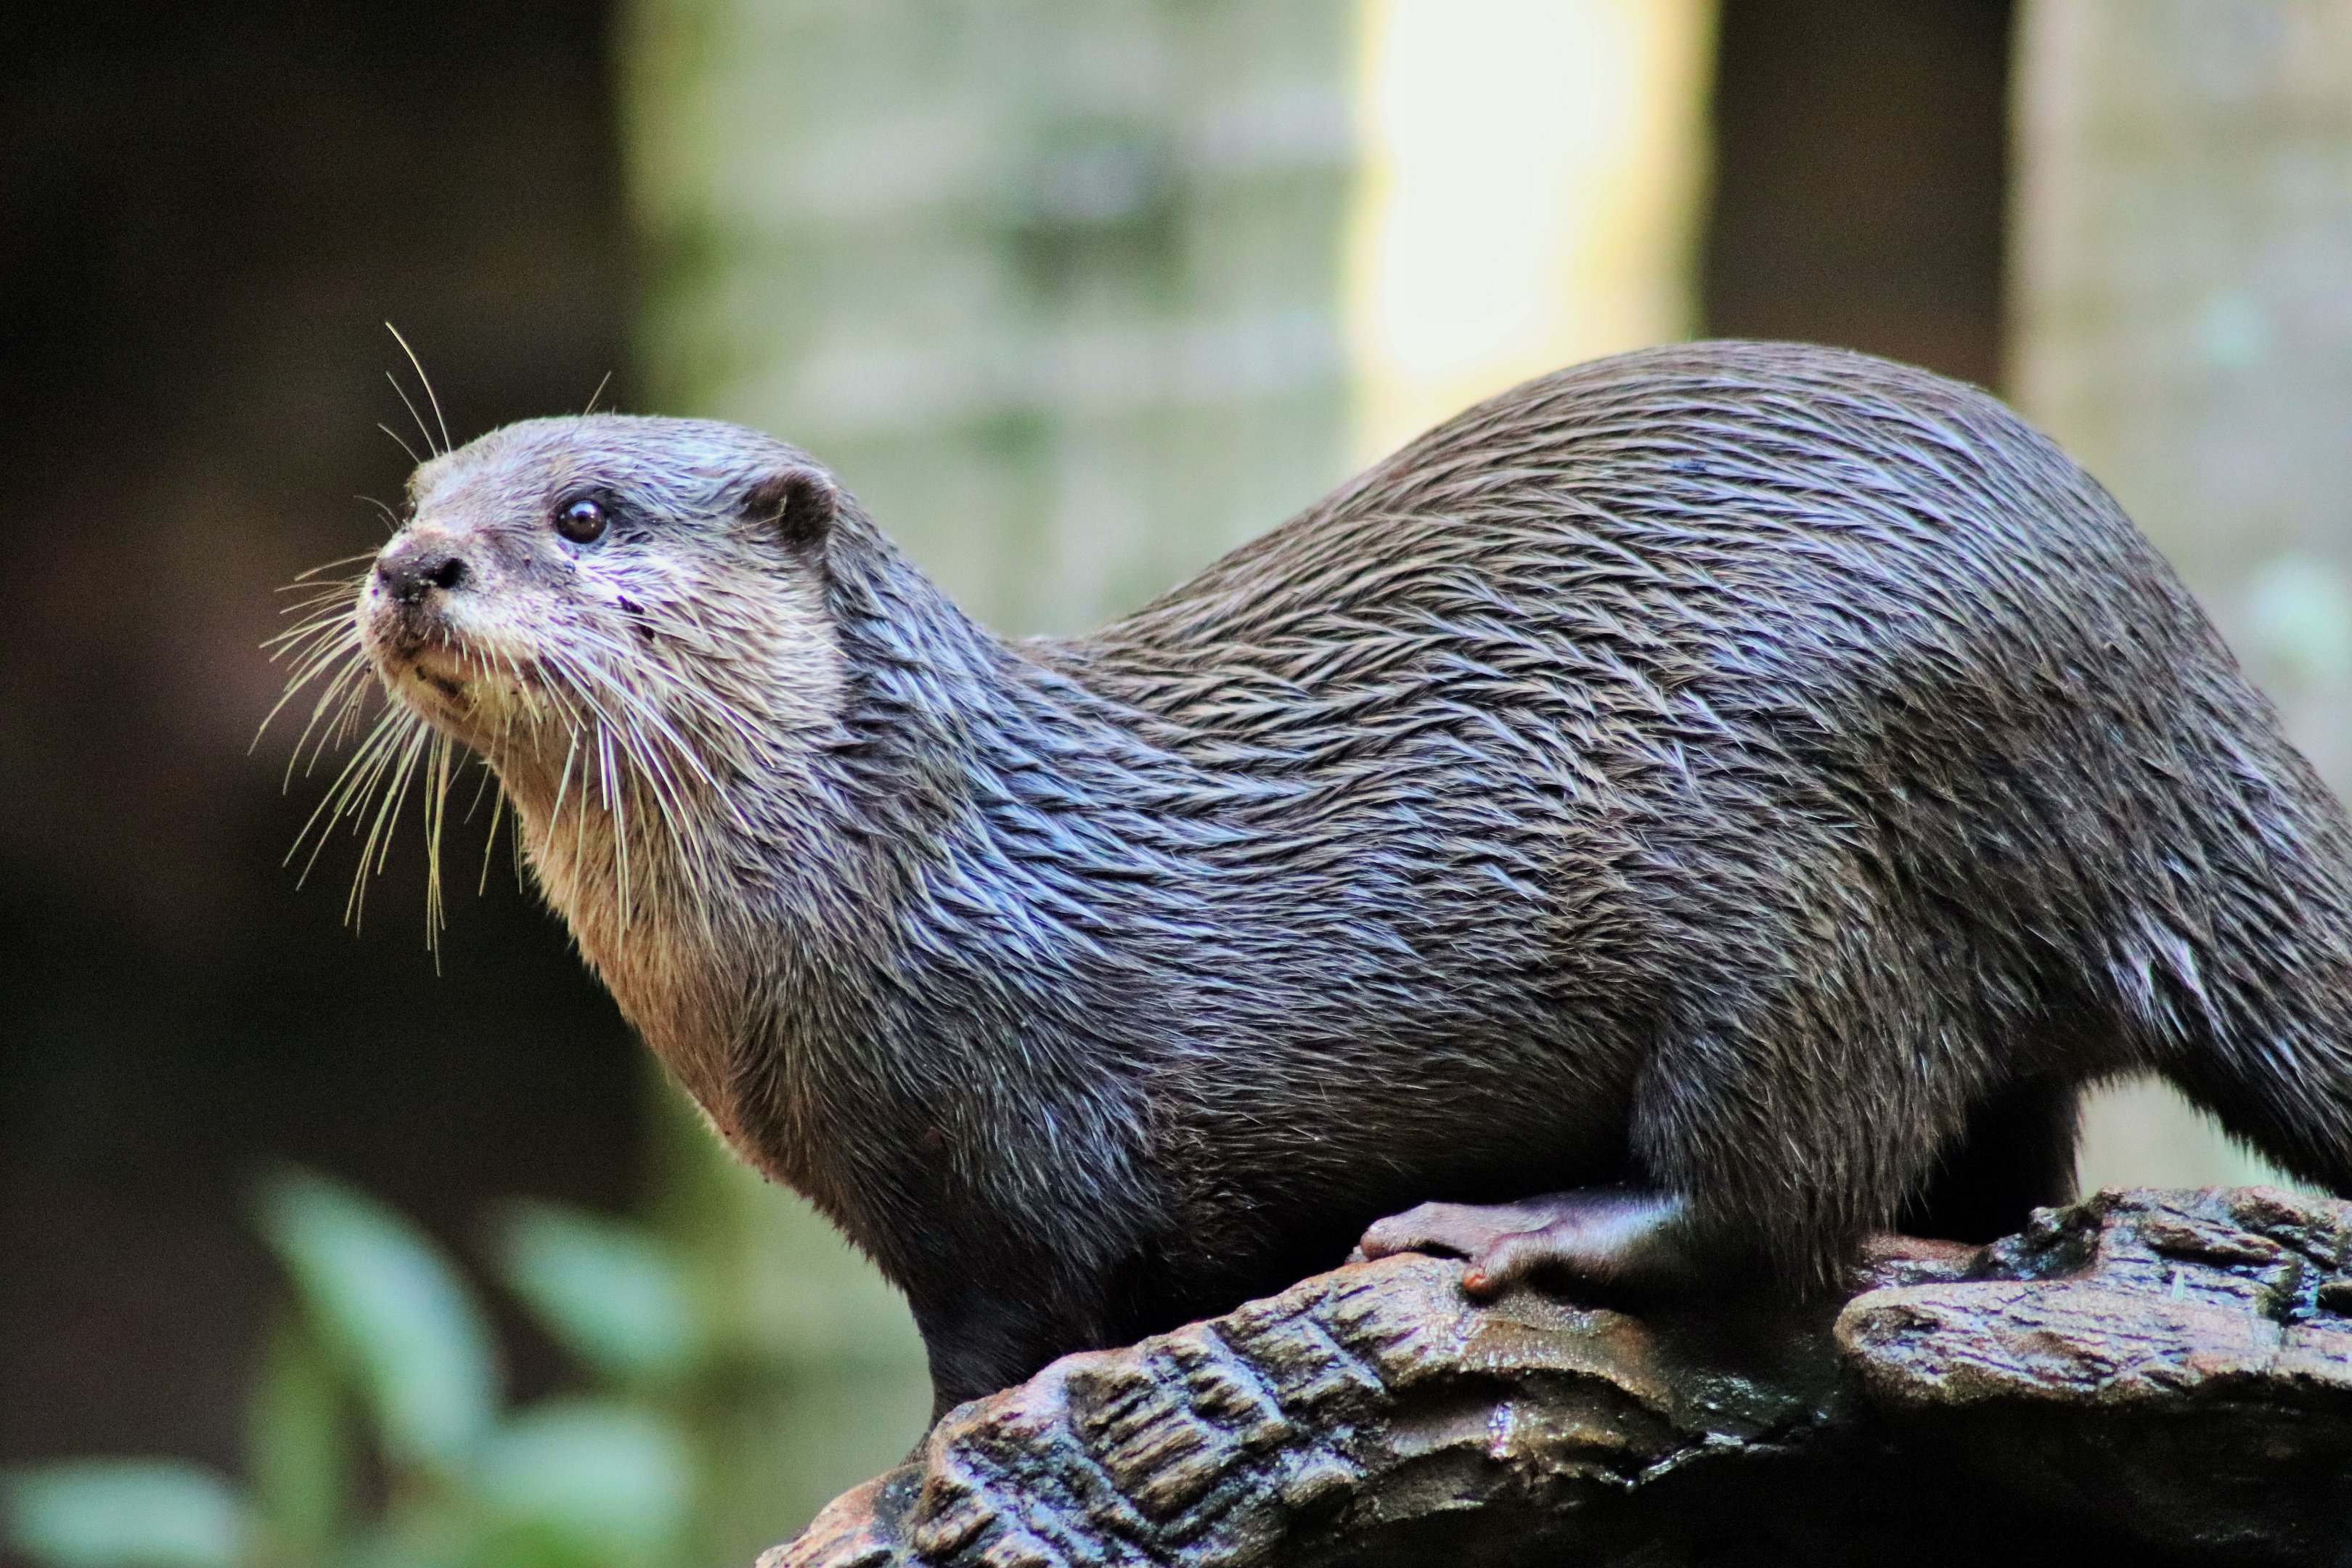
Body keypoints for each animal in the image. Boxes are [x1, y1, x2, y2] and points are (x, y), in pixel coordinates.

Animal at [291, 340, 2352, 1416]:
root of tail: (2156, 673)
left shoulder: (1018, 1154)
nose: (410, 568)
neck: (901, 866)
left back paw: (1510, 1226)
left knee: (1779, 1189)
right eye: (417, 494)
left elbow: (1009, 1341)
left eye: (581, 516)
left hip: (1797, 892)